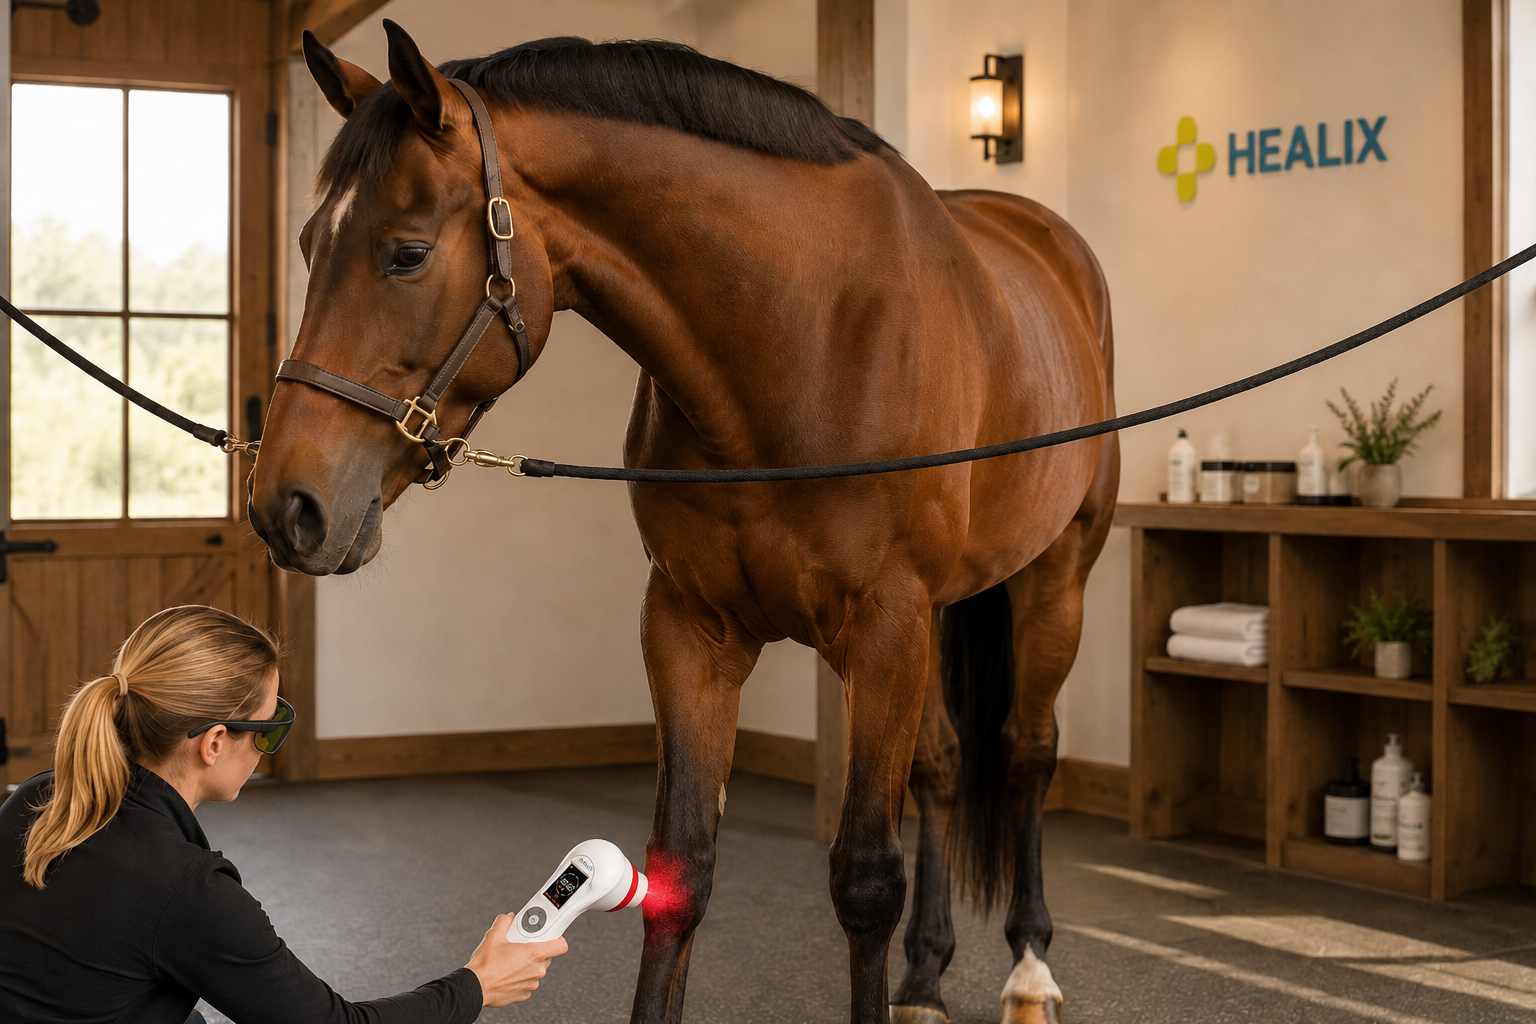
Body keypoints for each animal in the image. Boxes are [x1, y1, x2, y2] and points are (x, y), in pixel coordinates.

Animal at [249, 22, 1117, 1024]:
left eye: (407, 254)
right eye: (309, 242)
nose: (285, 505)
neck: (799, 336)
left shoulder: (884, 627)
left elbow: (866, 879)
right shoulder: (692, 629)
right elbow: (681, 872)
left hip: (1056, 581)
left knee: (1025, 754)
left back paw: (1030, 966)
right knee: (941, 764)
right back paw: (928, 975)